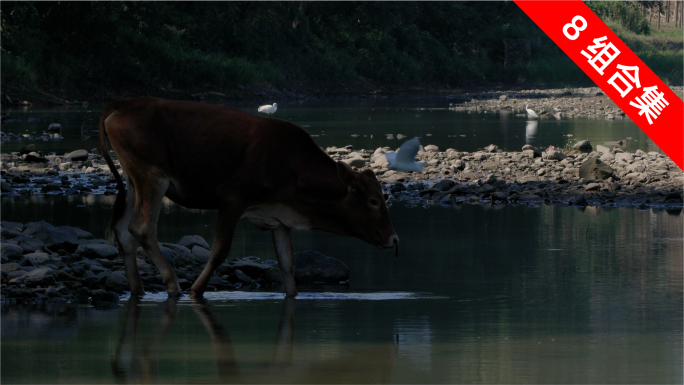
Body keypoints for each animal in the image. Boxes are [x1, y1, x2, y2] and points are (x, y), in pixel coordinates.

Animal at [95, 96, 396, 296]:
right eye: (373, 201)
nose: (394, 239)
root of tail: (123, 103)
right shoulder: (232, 200)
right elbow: (219, 251)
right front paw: (196, 289)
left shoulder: (280, 217)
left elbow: (288, 263)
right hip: (151, 175)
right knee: (142, 228)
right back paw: (172, 283)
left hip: (133, 178)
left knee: (124, 231)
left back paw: (137, 289)